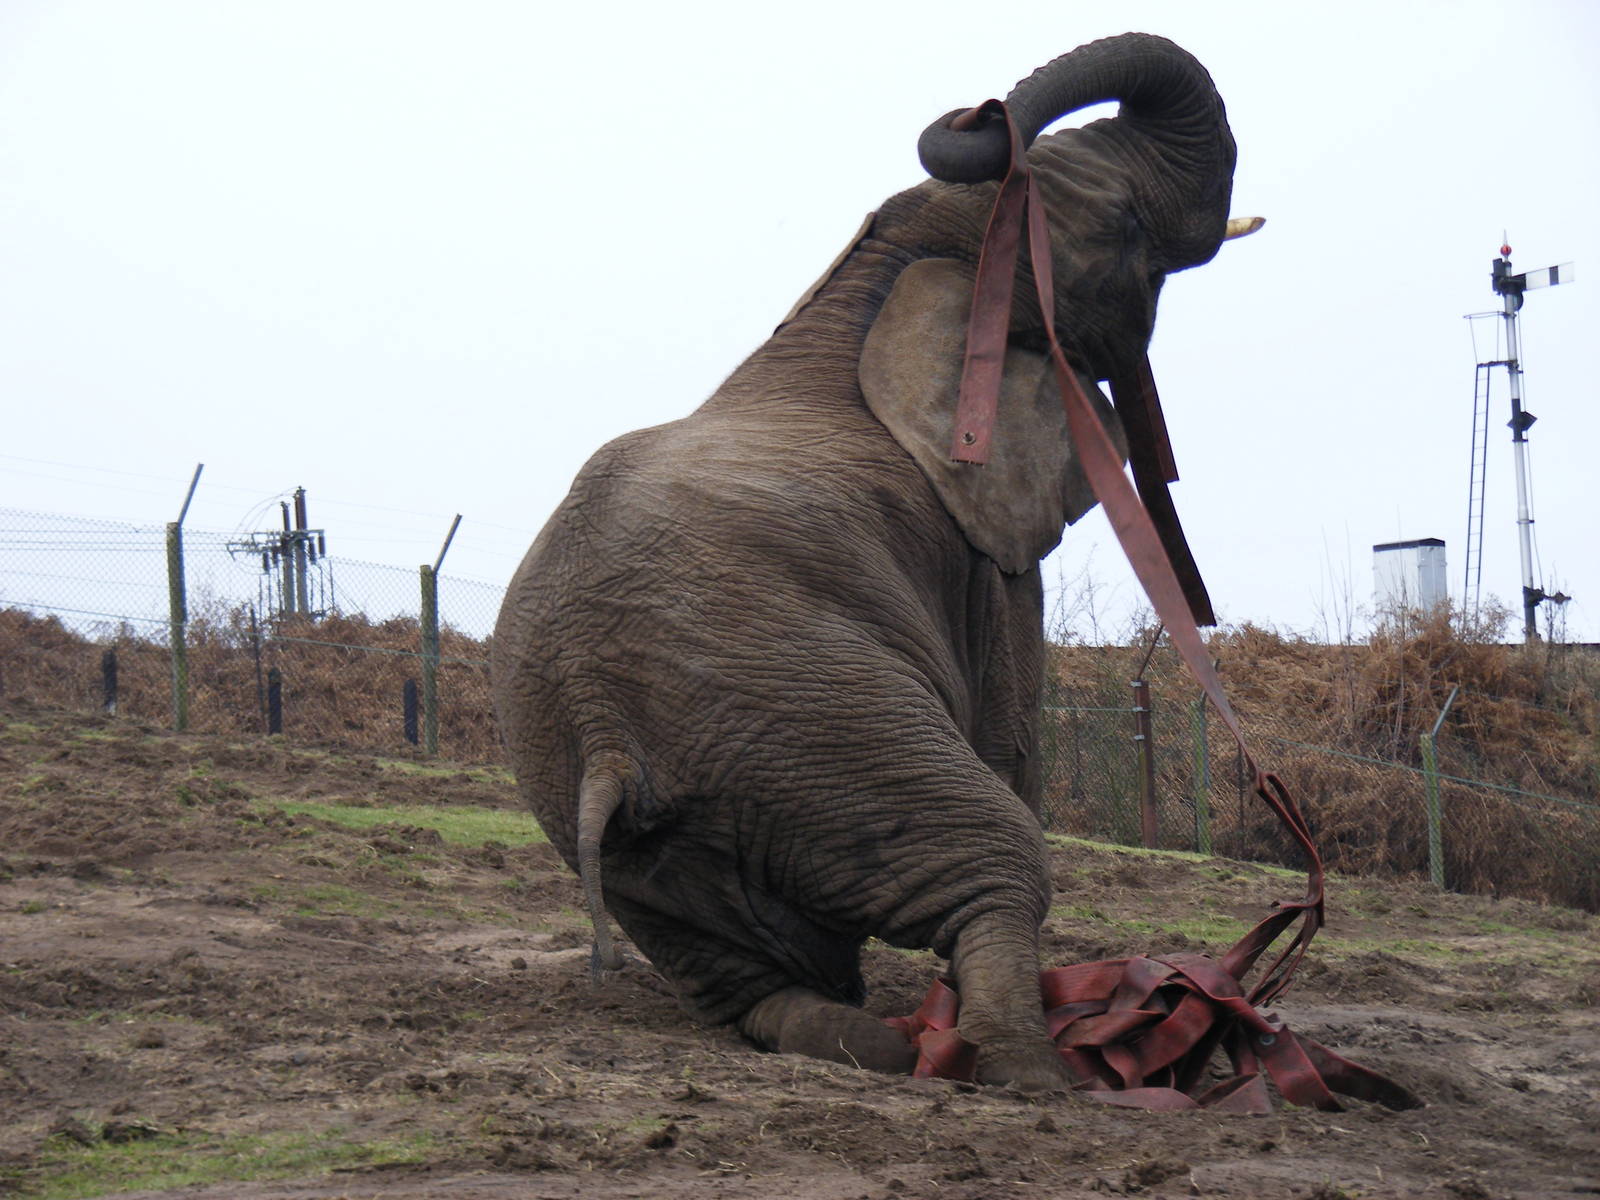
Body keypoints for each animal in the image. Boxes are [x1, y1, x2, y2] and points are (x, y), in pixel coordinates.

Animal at [492, 33, 1252, 1091]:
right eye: (1127, 230)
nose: (984, 110)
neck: (881, 277)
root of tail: (606, 741)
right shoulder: (985, 546)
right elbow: (1012, 736)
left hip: (611, 816)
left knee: (752, 981)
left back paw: (878, 1042)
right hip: (818, 723)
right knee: (996, 860)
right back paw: (1033, 1069)